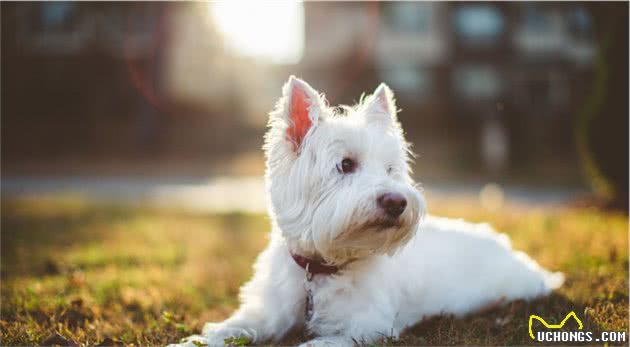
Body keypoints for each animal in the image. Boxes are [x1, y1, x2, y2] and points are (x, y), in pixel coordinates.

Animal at [172, 77, 564, 347]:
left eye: (391, 169)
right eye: (346, 164)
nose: (397, 202)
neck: (321, 269)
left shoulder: (367, 326)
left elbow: (318, 343)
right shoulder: (267, 311)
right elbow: (231, 327)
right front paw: (193, 340)